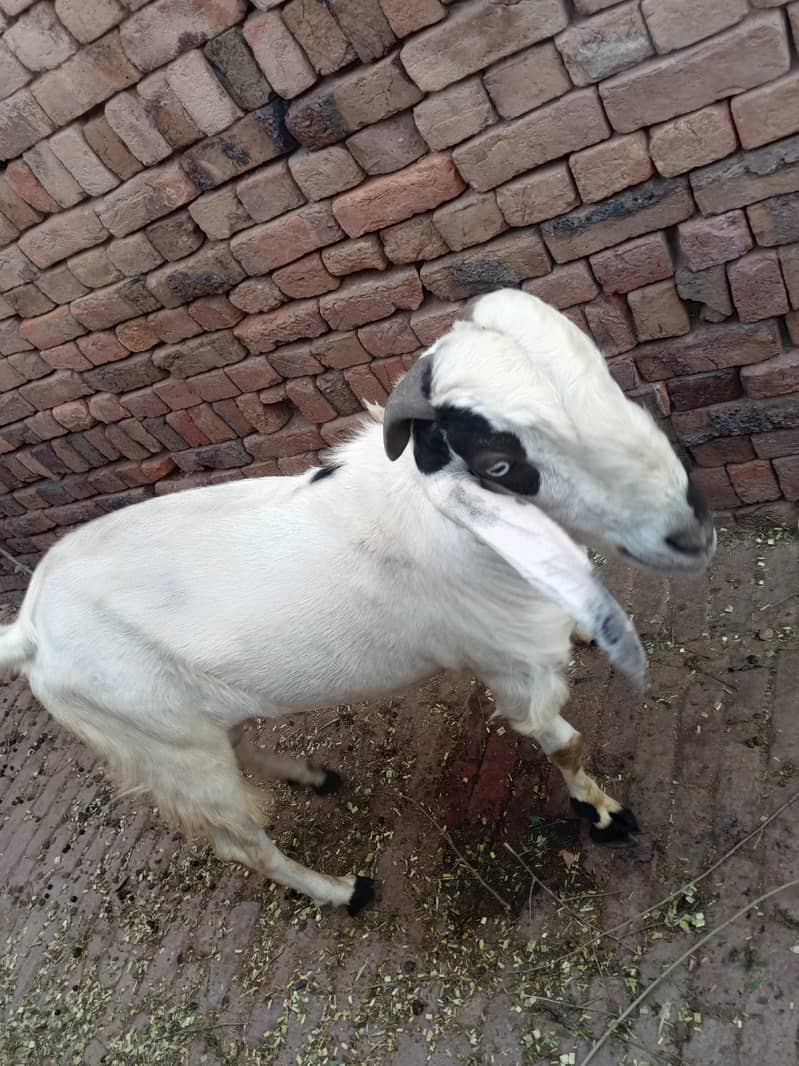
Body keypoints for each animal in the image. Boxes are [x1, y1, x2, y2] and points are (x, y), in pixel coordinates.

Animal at [0, 289, 715, 915]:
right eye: (499, 463)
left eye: (601, 372)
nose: (689, 533)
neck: (448, 520)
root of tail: (29, 629)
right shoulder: (511, 667)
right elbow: (564, 745)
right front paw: (607, 815)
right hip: (167, 748)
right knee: (241, 843)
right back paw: (343, 891)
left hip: (186, 725)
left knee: (239, 744)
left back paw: (312, 777)